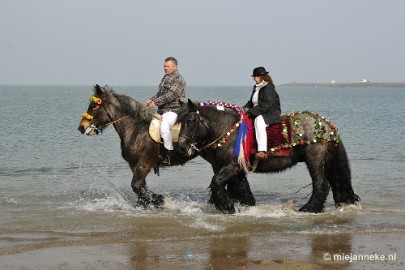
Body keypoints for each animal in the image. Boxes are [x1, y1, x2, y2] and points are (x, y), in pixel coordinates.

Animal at [77, 84, 254, 209]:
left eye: (94, 105)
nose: (81, 127)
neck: (136, 129)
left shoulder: (144, 164)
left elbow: (136, 186)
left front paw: (160, 201)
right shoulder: (135, 165)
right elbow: (141, 187)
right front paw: (146, 204)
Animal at [177, 100, 360, 214]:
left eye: (190, 121)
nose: (180, 147)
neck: (228, 130)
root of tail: (326, 125)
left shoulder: (233, 166)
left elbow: (217, 182)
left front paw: (227, 206)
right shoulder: (232, 167)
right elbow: (240, 187)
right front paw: (244, 205)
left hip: (314, 158)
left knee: (321, 184)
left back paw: (309, 208)